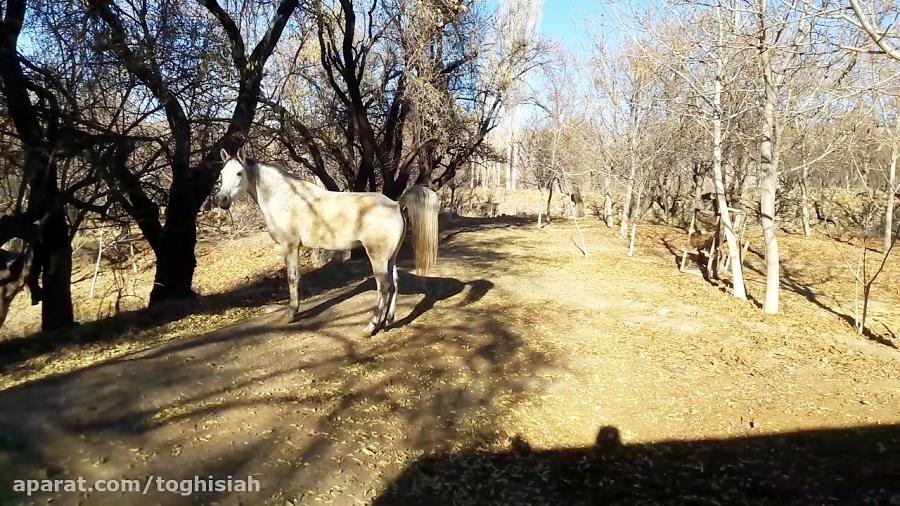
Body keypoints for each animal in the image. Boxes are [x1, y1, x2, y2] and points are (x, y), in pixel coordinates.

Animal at [214, 148, 440, 334]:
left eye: (239, 173)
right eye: (221, 174)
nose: (222, 200)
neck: (287, 198)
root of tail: (396, 204)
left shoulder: (289, 246)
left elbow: (292, 279)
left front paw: (291, 314)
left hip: (377, 258)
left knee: (384, 287)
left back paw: (371, 326)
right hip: (389, 257)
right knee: (394, 284)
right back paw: (388, 322)